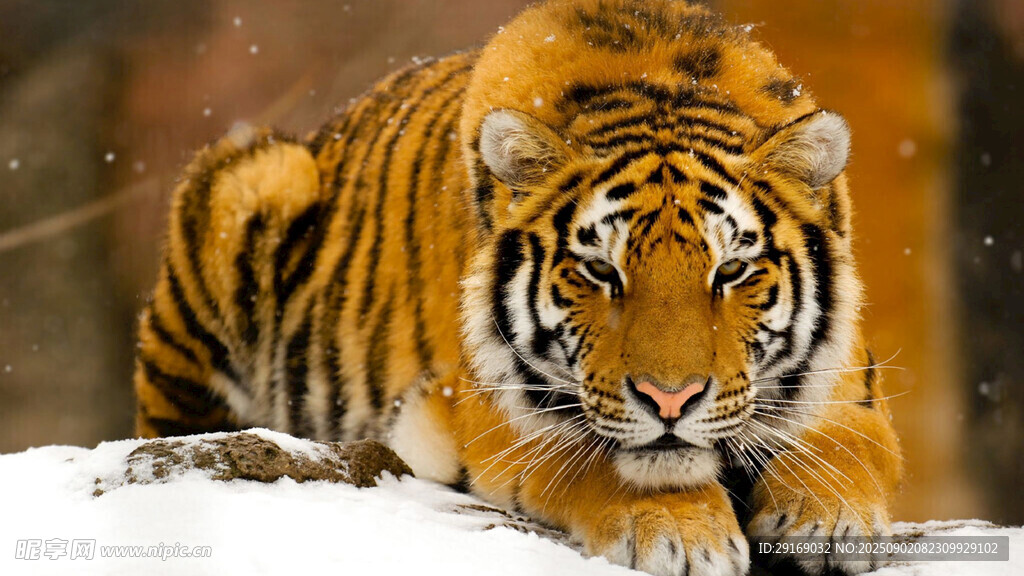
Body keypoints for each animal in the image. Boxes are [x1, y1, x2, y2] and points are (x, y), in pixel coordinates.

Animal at [133, 0, 903, 574]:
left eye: (731, 271)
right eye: (601, 271)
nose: (670, 400)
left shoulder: (848, 383)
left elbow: (848, 444)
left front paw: (827, 517)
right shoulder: (488, 407)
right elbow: (598, 457)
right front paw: (682, 533)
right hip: (252, 182)